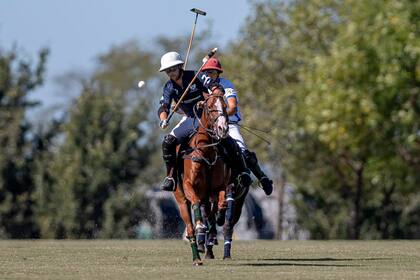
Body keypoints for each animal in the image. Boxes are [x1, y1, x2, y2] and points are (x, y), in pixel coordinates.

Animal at [171, 91, 230, 264]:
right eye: (209, 107)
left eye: (225, 106)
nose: (223, 128)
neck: (205, 151)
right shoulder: (189, 185)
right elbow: (195, 203)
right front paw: (199, 225)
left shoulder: (217, 188)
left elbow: (223, 202)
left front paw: (219, 219)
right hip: (180, 198)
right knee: (190, 228)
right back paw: (196, 257)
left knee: (209, 215)